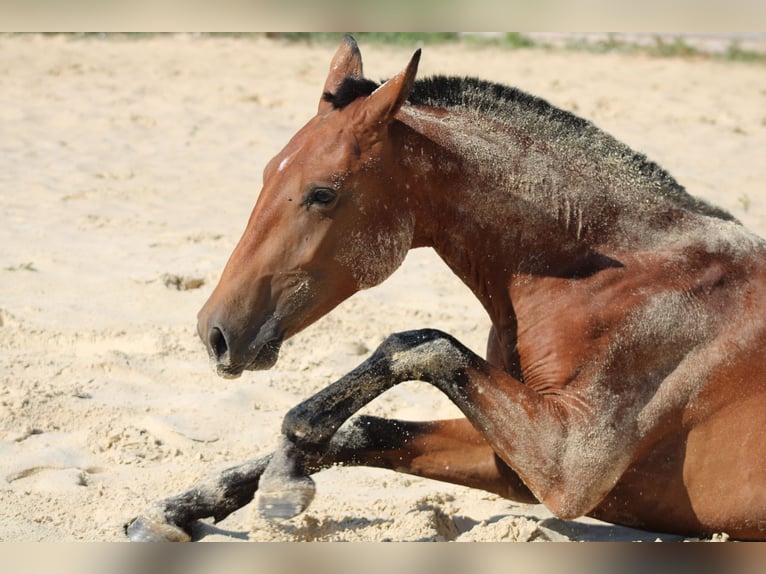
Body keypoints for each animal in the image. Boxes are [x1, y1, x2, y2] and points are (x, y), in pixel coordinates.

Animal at [129, 38, 766, 544]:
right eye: (265, 173)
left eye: (323, 193)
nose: (216, 334)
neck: (610, 276)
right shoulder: (517, 464)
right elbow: (366, 427)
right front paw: (175, 511)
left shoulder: (570, 463)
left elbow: (416, 345)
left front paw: (286, 474)